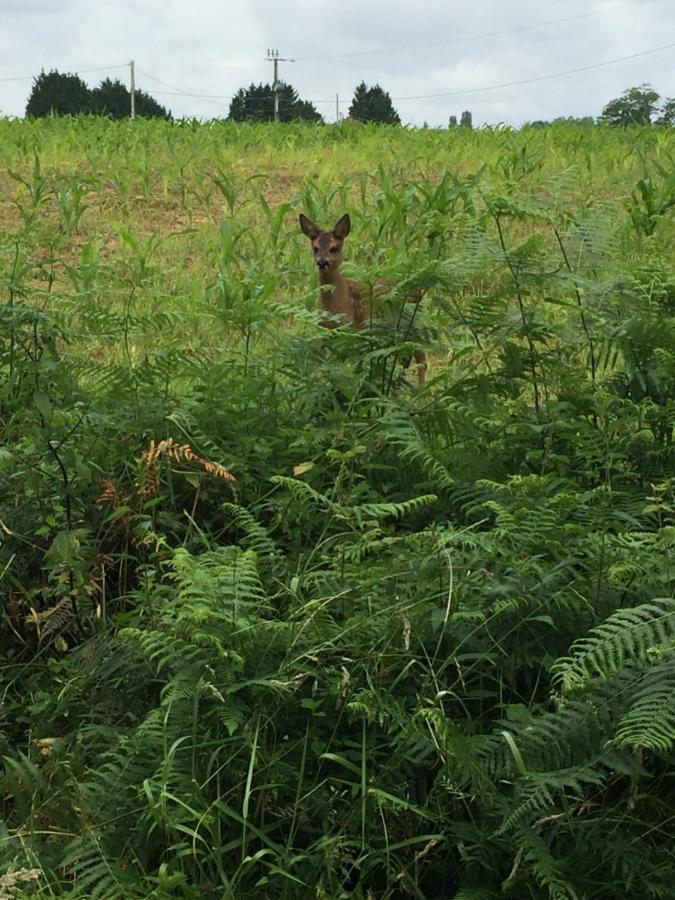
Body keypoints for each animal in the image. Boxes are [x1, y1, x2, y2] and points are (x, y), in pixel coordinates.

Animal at [298, 213, 426, 384]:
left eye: (334, 248)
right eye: (315, 248)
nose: (322, 261)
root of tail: (417, 291)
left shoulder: (352, 329)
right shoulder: (325, 330)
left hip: (409, 324)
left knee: (420, 356)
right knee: (405, 356)